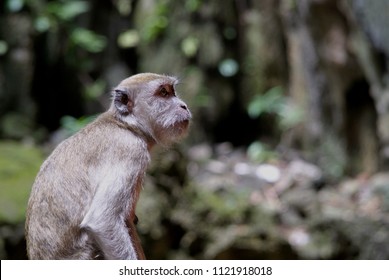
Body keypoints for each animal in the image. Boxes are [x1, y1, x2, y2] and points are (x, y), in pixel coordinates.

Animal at [25, 72, 192, 260]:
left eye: (172, 92)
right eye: (163, 93)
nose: (184, 106)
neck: (126, 125)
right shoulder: (131, 151)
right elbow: (102, 221)